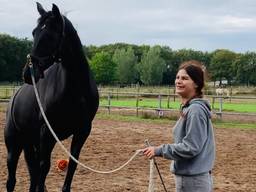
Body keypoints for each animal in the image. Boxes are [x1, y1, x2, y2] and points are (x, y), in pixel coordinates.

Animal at [5, 3, 99, 192]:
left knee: (33, 173)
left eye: (49, 34)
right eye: (34, 32)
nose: (28, 73)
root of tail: (14, 97)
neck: (76, 90)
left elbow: (72, 166)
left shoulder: (82, 132)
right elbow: (44, 167)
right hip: (14, 144)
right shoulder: (46, 133)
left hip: (30, 142)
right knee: (12, 179)